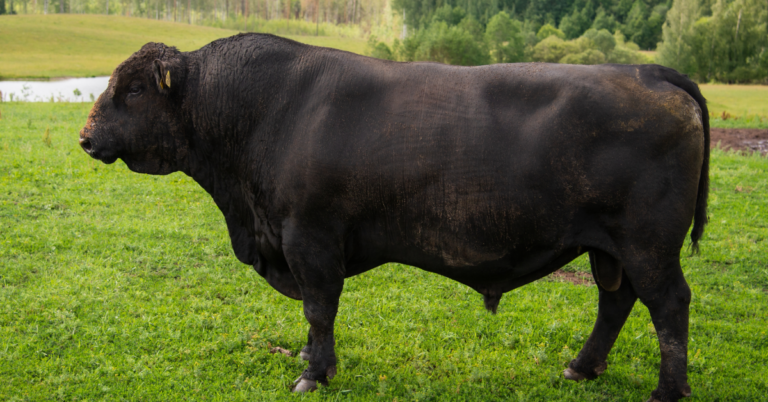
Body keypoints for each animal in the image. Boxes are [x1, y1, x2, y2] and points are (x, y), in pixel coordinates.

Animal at [79, 33, 709, 401]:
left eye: (133, 90)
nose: (85, 137)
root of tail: (647, 72)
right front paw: (312, 362)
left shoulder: (308, 237)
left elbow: (319, 309)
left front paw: (313, 373)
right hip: (611, 247)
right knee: (616, 301)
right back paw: (581, 367)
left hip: (648, 244)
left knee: (668, 306)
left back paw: (667, 391)